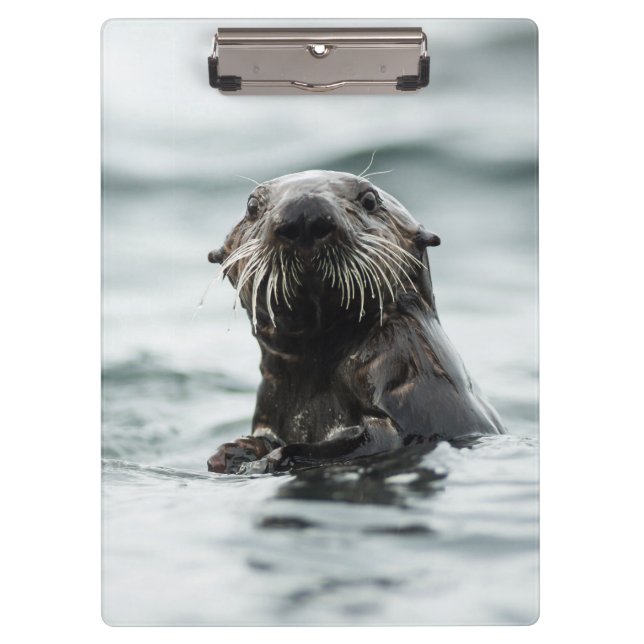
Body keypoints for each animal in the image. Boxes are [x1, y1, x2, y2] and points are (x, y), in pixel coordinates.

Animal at [206, 170, 504, 474]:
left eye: (369, 199)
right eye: (252, 206)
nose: (304, 214)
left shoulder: (405, 368)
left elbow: (374, 440)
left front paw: (269, 458)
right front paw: (234, 451)